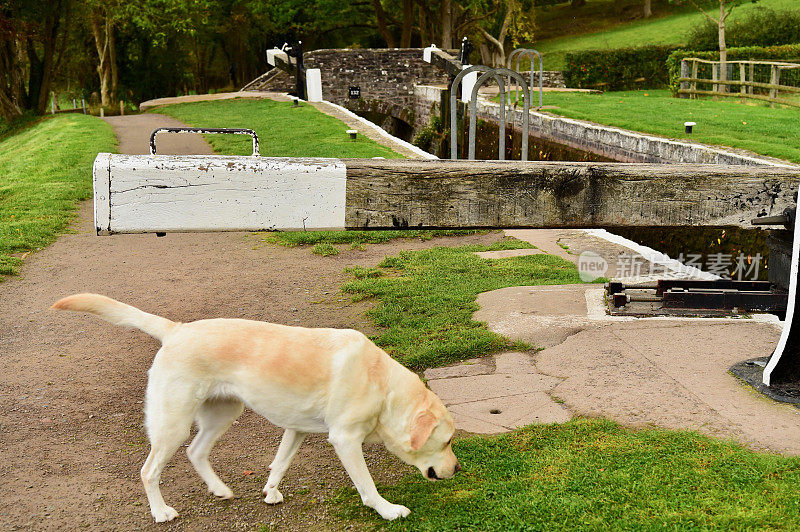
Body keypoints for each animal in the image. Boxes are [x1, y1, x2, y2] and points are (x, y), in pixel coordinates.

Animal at [53, 296, 460, 524]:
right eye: (447, 442)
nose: (458, 469)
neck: (382, 384)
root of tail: (177, 329)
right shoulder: (345, 440)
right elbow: (366, 484)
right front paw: (388, 510)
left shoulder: (297, 429)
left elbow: (279, 463)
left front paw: (271, 492)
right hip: (173, 424)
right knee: (149, 470)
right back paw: (160, 512)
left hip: (222, 414)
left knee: (195, 451)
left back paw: (219, 489)